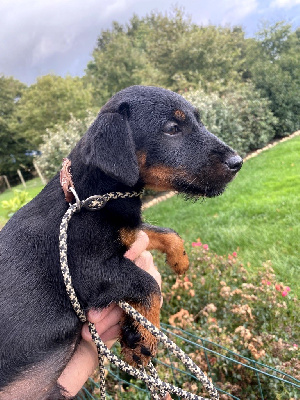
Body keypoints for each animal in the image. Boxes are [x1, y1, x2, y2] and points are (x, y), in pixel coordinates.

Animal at [0, 86, 243, 398]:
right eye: (172, 128)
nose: (238, 162)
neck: (86, 195)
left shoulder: (127, 233)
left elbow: (160, 232)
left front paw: (180, 261)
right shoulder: (88, 271)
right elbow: (149, 284)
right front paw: (143, 339)